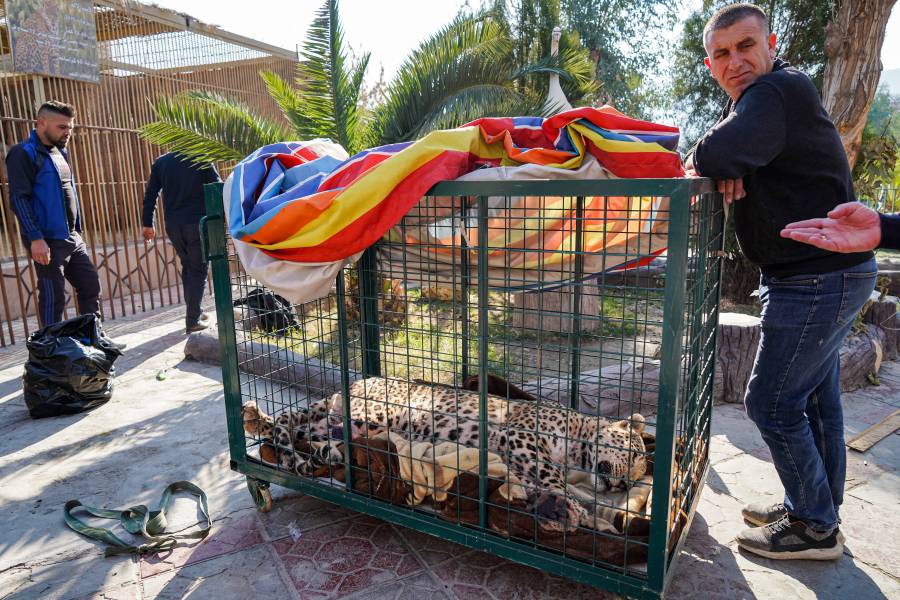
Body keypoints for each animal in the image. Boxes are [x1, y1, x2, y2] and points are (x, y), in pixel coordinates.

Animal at [241, 378, 648, 532]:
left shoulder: (519, 458)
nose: (622, 484)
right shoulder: (521, 437)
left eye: (634, 479)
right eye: (632, 455)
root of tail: (357, 379)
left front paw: (576, 512)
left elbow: (537, 481)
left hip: (336, 424)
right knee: (297, 424)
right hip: (374, 412)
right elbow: (552, 475)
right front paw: (572, 508)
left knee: (297, 430)